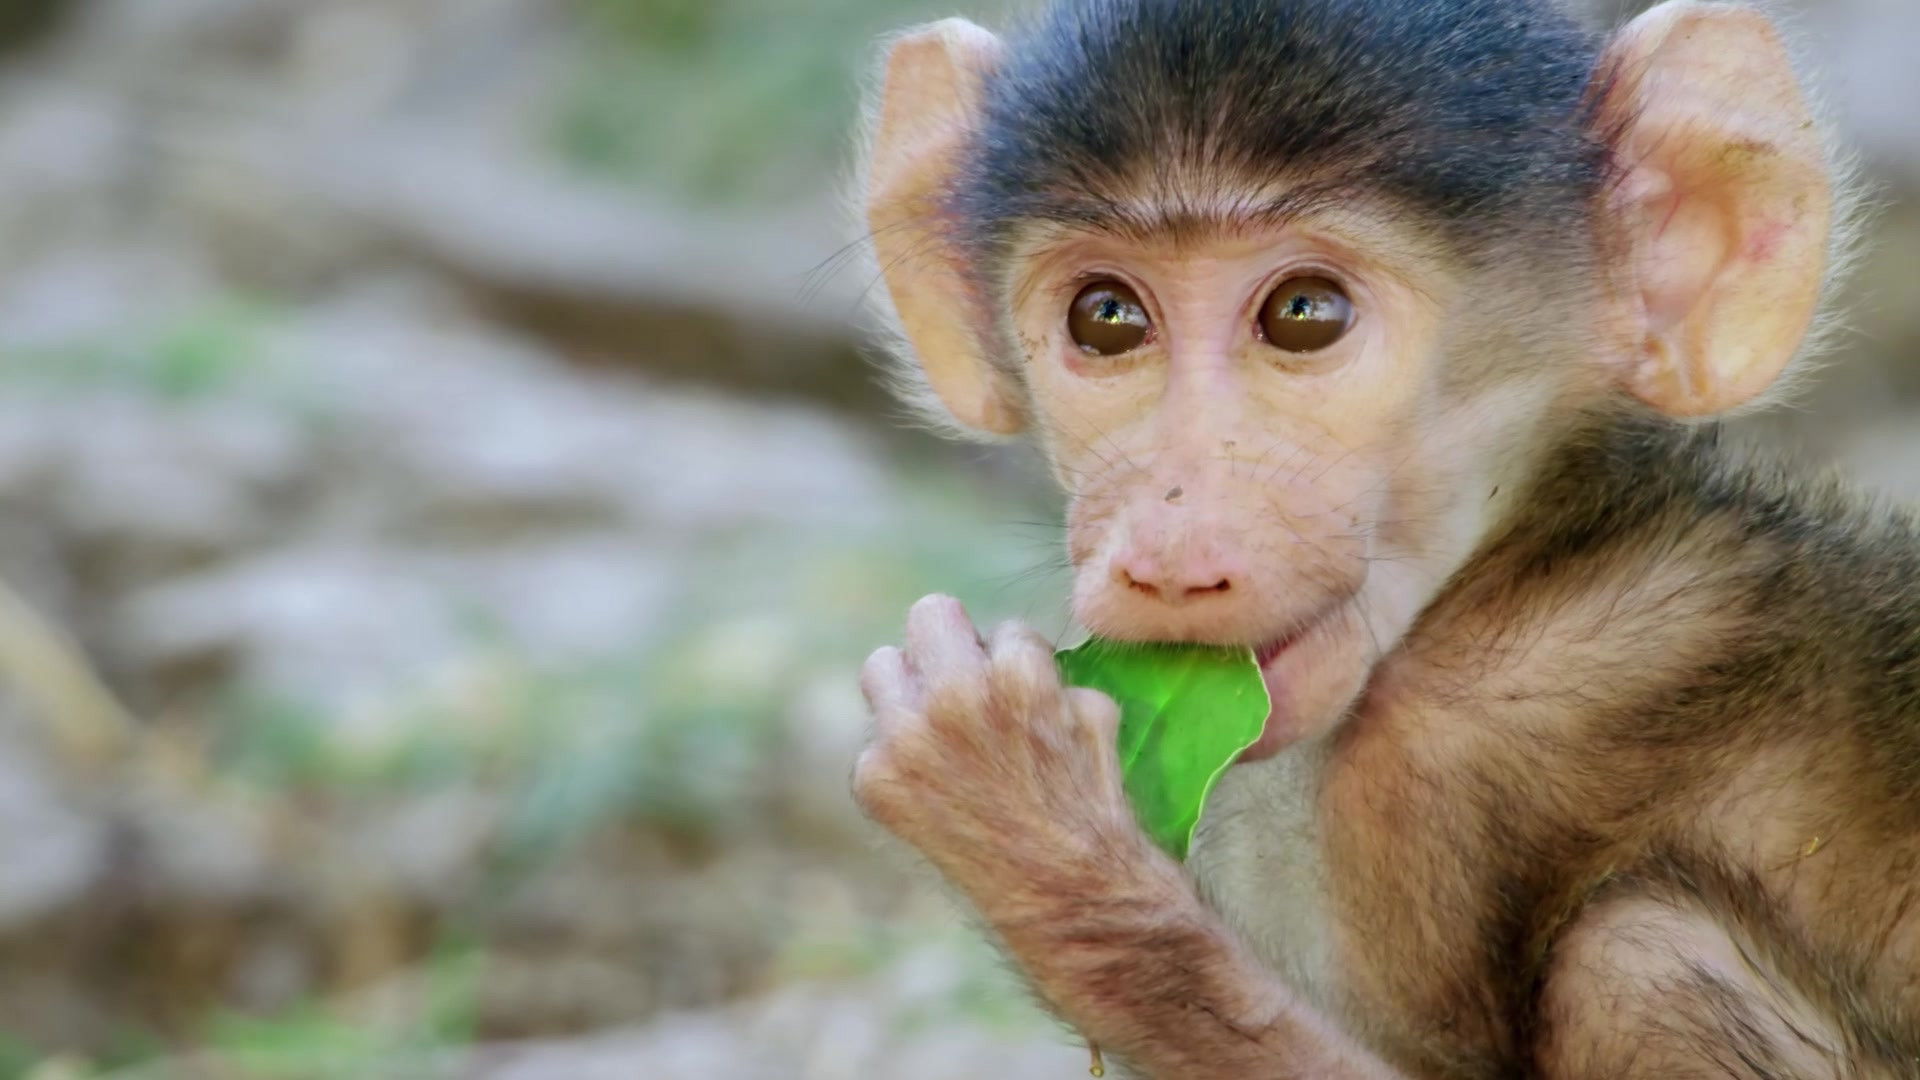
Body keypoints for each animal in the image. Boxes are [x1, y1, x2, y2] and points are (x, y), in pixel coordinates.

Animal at [848, 0, 1920, 1075]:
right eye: (1106, 317)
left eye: (1304, 314)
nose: (1169, 555)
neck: (1522, 559)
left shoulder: (1437, 761)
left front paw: (1024, 812)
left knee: (1643, 958)